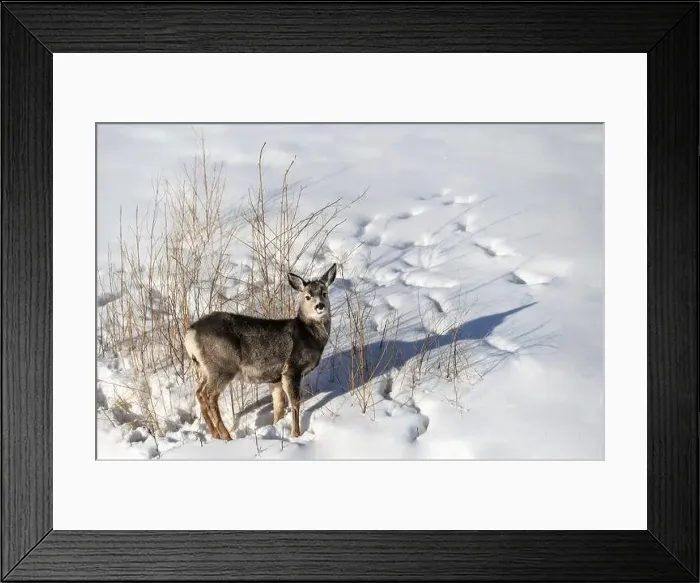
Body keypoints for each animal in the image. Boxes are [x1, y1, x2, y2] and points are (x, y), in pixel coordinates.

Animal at [184, 263, 337, 441]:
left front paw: (276, 426)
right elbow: (295, 403)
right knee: (209, 396)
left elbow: (278, 405)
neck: (309, 335)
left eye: (324, 292)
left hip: (204, 368)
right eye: (307, 296)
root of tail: (190, 334)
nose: (320, 306)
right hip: (222, 366)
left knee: (199, 393)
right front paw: (295, 434)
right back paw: (226, 436)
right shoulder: (292, 368)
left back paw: (215, 435)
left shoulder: (276, 377)